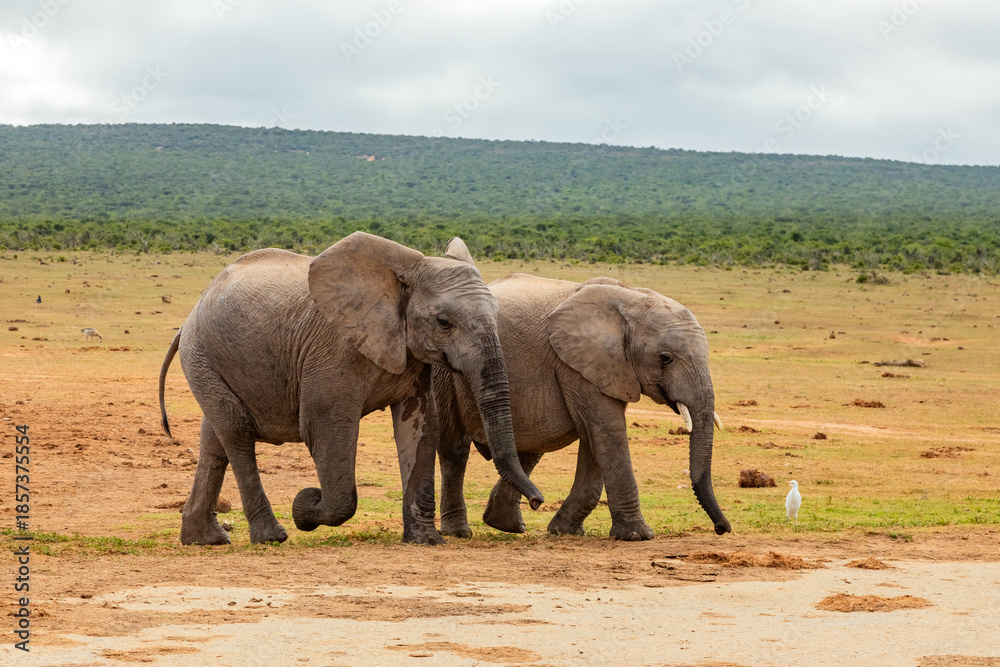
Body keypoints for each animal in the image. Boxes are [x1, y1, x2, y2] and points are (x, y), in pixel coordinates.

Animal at [158, 232, 543, 546]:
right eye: (444, 322)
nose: (538, 503)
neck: (402, 274)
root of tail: (188, 319)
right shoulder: (334, 350)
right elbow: (326, 428)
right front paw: (305, 506)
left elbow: (420, 428)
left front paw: (426, 540)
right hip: (202, 355)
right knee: (236, 434)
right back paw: (271, 536)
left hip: (211, 362)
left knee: (215, 442)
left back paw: (206, 539)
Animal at [420, 238, 730, 540]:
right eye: (665, 358)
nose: (722, 529)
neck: (631, 298)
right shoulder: (575, 365)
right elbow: (606, 431)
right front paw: (638, 535)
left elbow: (595, 438)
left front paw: (565, 531)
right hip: (445, 370)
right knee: (455, 450)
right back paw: (460, 531)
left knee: (529, 447)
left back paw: (507, 525)